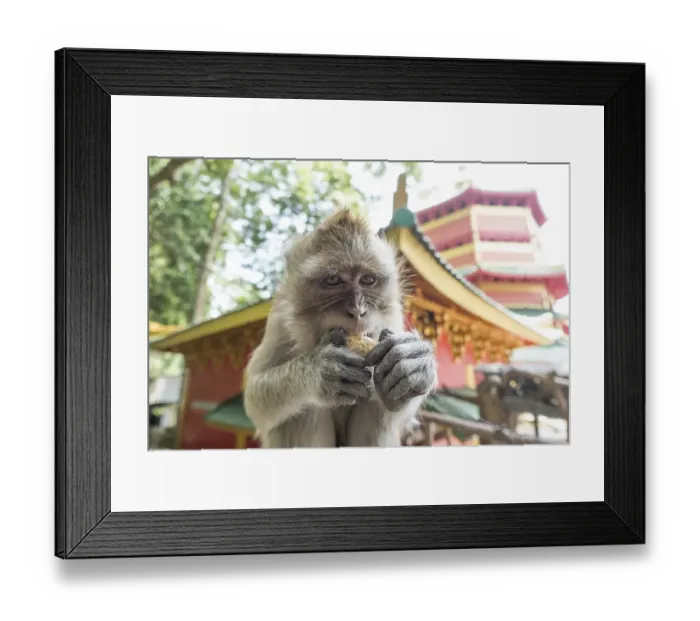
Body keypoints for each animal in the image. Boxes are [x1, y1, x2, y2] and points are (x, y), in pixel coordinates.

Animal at [243, 208, 438, 448]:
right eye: (333, 280)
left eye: (368, 280)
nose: (357, 310)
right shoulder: (280, 320)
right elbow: (255, 402)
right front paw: (318, 372)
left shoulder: (392, 317)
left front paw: (414, 366)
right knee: (303, 410)